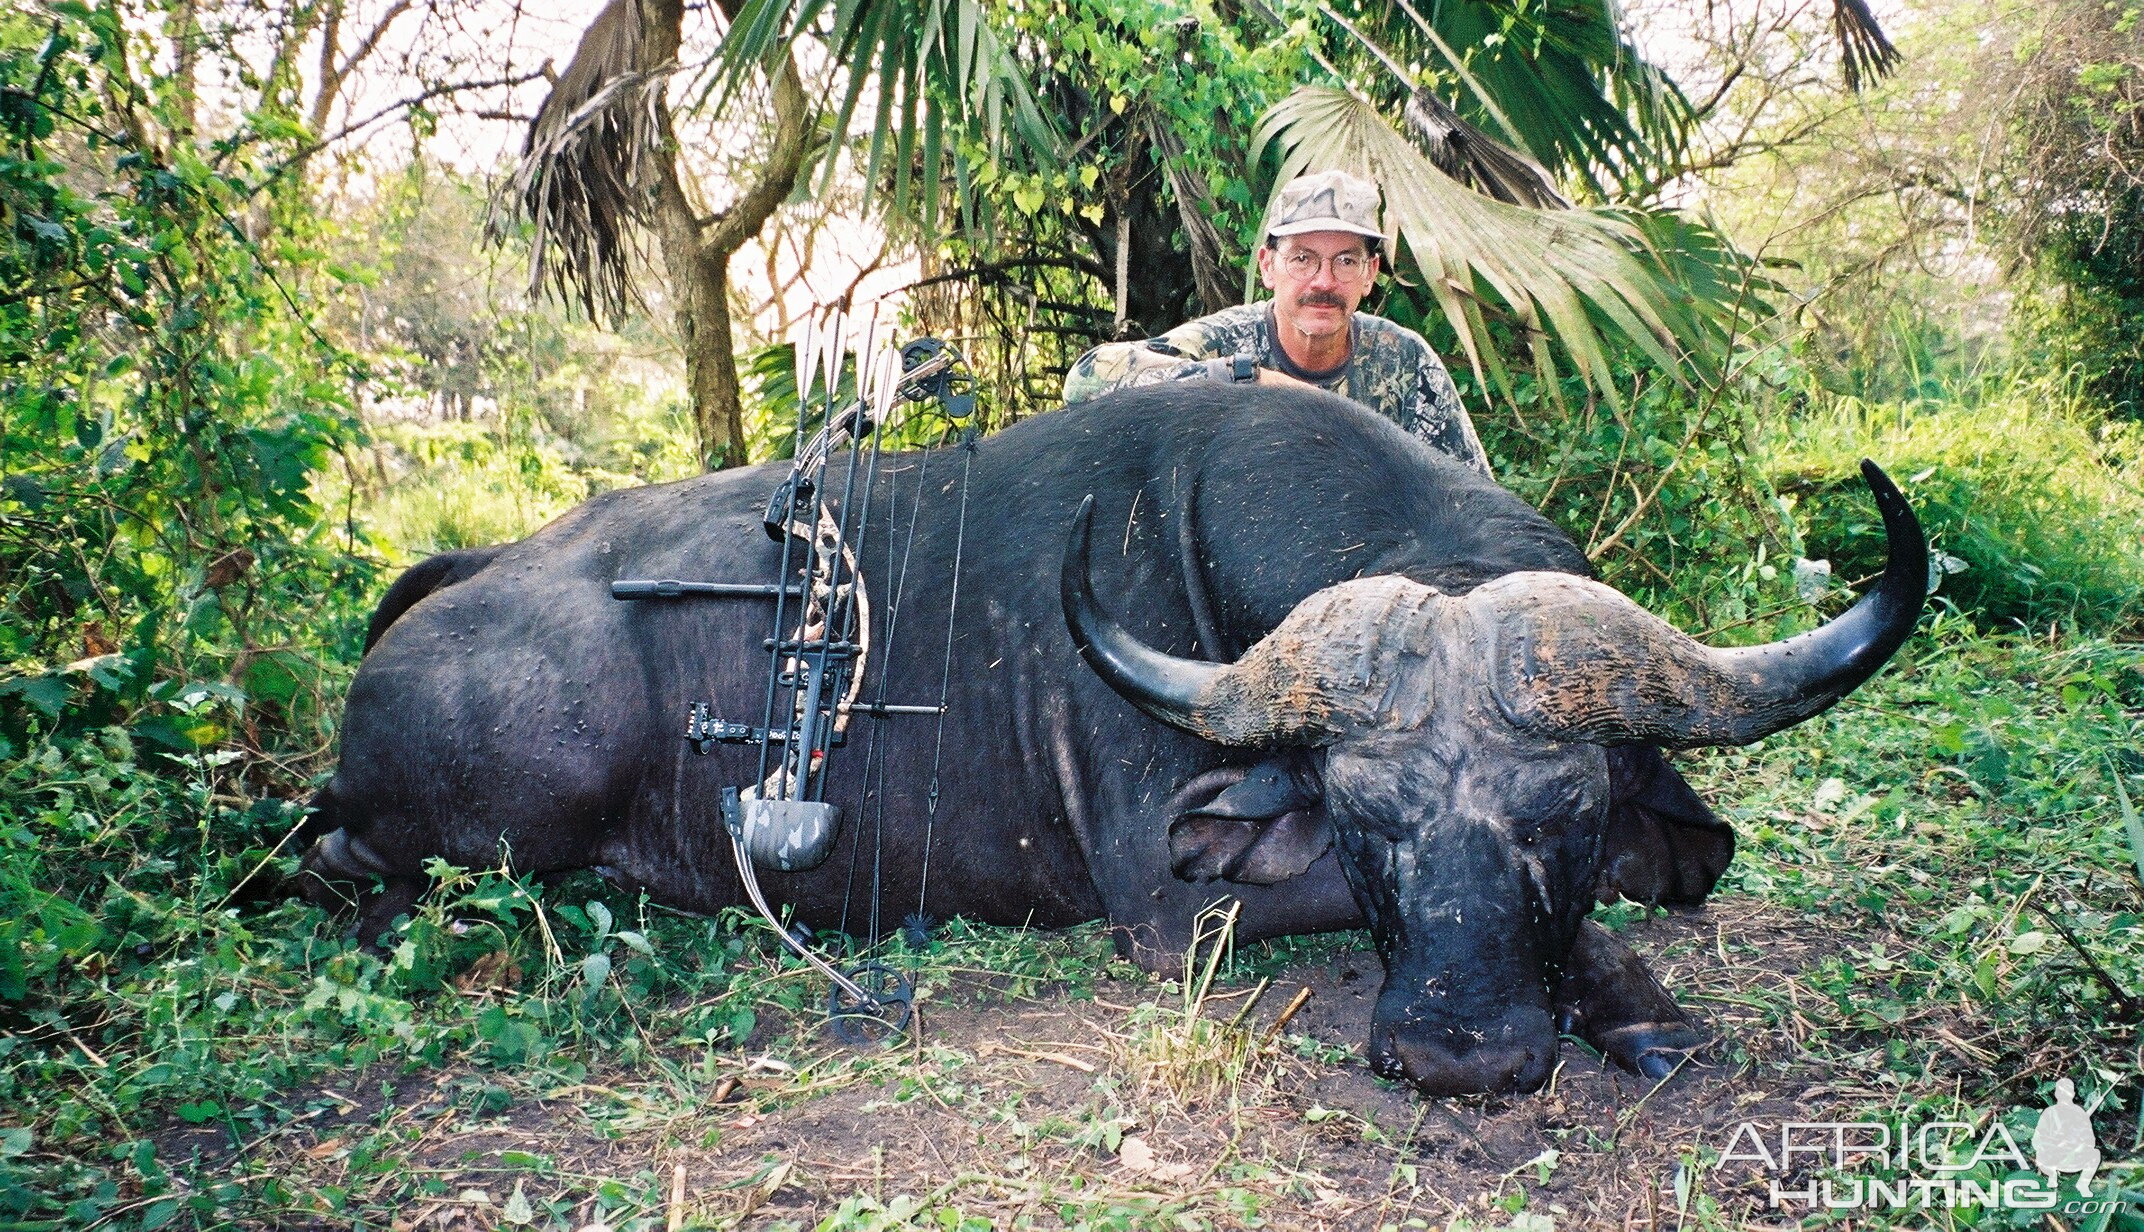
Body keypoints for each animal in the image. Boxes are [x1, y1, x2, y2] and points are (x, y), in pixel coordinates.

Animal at [306, 387, 1929, 1097]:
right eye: (1365, 819)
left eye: (1565, 815)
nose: (1450, 1050)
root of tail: (468, 573)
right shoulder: (1174, 905)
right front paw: (1634, 1005)